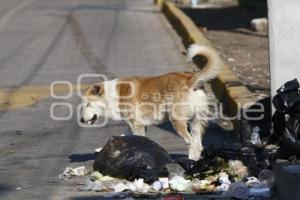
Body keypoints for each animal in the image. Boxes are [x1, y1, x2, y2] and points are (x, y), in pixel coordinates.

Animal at [79, 44, 220, 160]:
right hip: (196, 122)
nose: (81, 120)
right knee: (198, 145)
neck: (113, 94)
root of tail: (189, 79)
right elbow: (128, 136)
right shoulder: (138, 125)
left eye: (88, 104)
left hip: (177, 121)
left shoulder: (136, 125)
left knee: (191, 143)